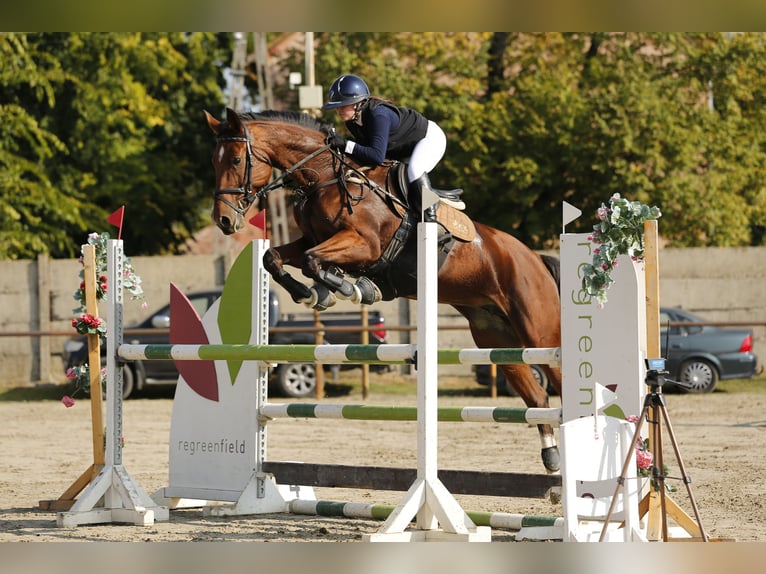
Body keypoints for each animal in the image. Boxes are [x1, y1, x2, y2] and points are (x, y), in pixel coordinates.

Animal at [204, 107, 564, 472]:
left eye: (235, 159)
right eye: (214, 163)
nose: (224, 221)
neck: (325, 177)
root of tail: (535, 258)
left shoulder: (365, 244)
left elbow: (311, 261)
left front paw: (355, 289)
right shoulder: (312, 239)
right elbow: (275, 257)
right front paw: (313, 294)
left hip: (540, 335)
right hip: (498, 339)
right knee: (538, 396)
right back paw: (551, 458)